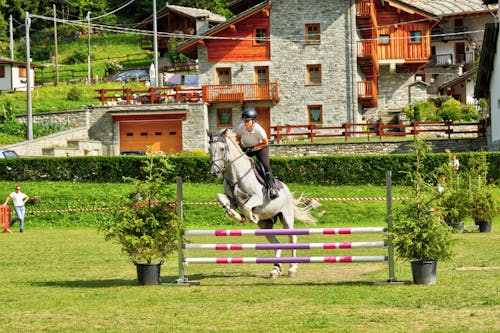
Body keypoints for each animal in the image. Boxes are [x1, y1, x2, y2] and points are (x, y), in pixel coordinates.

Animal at [207, 128, 316, 276]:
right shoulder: (233, 200)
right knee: (277, 244)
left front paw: (249, 217)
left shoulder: (256, 198)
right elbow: (221, 198)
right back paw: (275, 269)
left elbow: (247, 207)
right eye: (209, 149)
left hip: (286, 218)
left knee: (292, 238)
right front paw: (234, 215)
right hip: (265, 225)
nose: (215, 172)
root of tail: (287, 190)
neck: (236, 176)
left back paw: (292, 268)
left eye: (222, 148)